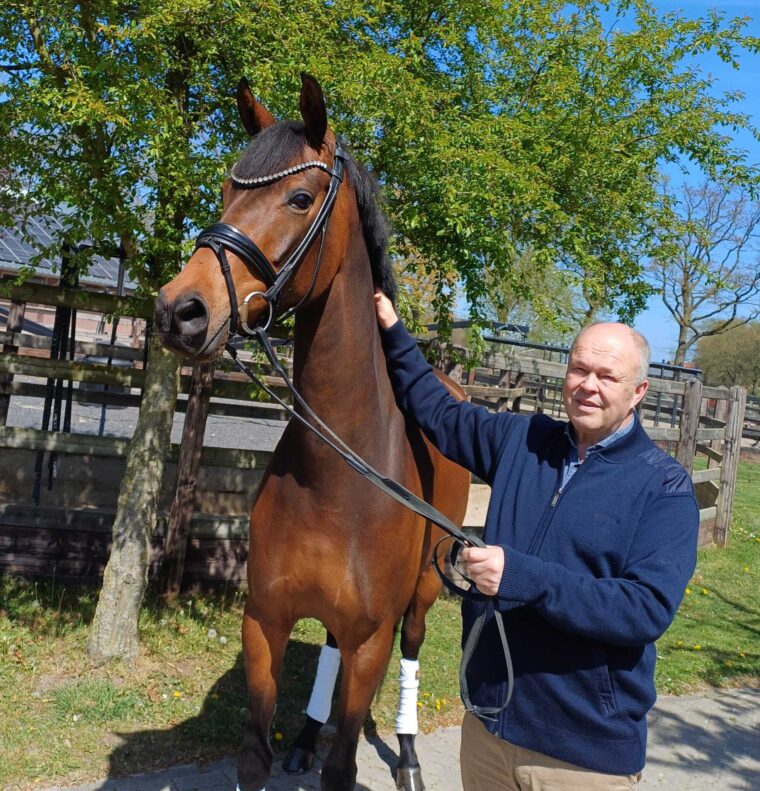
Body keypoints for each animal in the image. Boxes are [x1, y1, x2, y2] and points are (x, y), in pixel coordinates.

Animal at [154, 73, 470, 791]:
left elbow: (343, 764)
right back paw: (304, 736)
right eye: (226, 192)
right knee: (326, 646)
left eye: (299, 198)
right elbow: (254, 753)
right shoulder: (263, 622)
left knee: (412, 650)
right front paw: (292, 741)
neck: (336, 476)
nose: (180, 310)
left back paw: (409, 755)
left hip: (425, 590)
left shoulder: (372, 640)